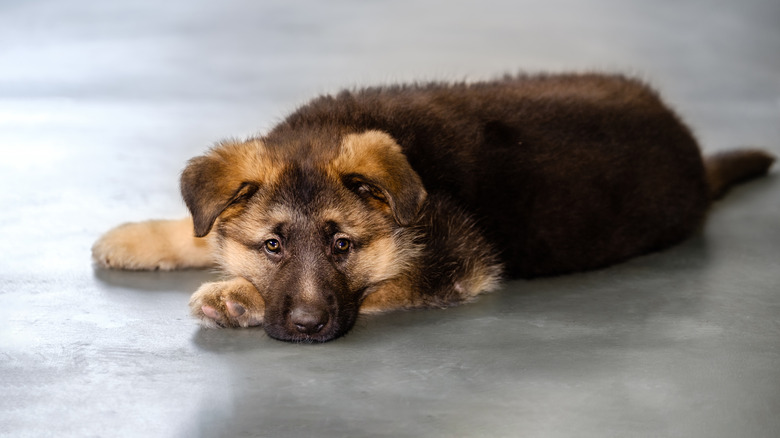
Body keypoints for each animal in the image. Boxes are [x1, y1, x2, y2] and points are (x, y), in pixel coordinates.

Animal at [91, 73, 772, 344]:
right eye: (273, 245)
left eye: (343, 245)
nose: (308, 327)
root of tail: (693, 152)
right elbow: (202, 229)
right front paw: (142, 237)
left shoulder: (455, 266)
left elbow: (376, 287)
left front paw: (238, 297)